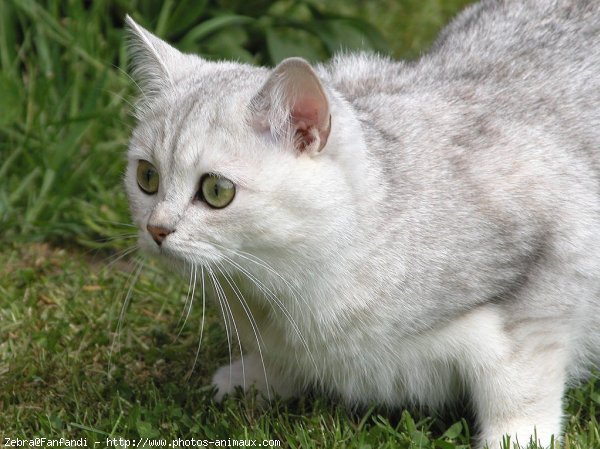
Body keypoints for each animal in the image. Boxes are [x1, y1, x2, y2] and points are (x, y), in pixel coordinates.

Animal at [123, 1, 600, 446]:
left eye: (217, 190)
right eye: (147, 177)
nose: (156, 230)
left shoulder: (546, 273)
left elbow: (518, 388)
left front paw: (516, 438)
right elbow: (278, 360)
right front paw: (255, 379)